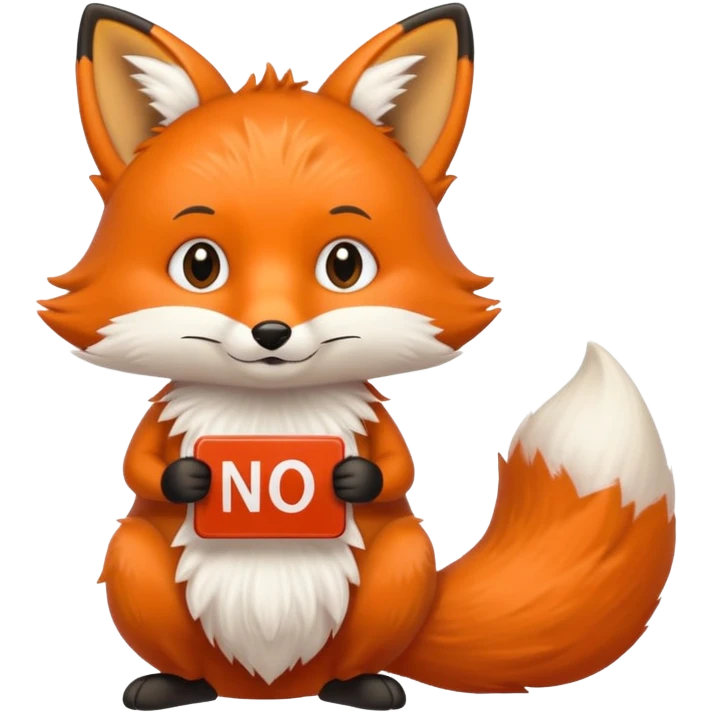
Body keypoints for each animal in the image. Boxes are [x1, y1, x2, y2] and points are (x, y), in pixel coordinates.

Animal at [40, 2, 677, 710]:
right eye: (200, 265)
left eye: (344, 264)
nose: (271, 332)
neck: (270, 413)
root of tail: (269, 684)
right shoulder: (155, 430)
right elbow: (141, 468)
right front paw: (190, 479)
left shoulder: (380, 431)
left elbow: (396, 470)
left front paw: (353, 479)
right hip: (134, 563)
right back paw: (172, 685)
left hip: (402, 563)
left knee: (371, 631)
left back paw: (364, 685)